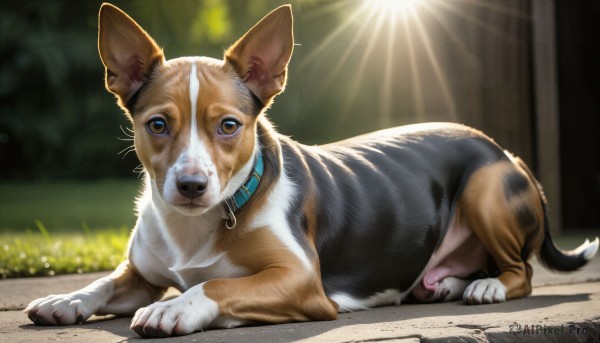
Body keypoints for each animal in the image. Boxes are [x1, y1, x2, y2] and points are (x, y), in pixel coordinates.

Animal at [23, 4, 596, 340]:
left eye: (229, 126)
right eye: (158, 124)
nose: (190, 185)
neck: (200, 222)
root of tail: (506, 152)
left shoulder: (299, 282)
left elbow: (218, 286)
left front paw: (179, 308)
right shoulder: (141, 273)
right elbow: (103, 284)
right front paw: (65, 298)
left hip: (484, 187)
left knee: (521, 272)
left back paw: (487, 288)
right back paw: (452, 282)